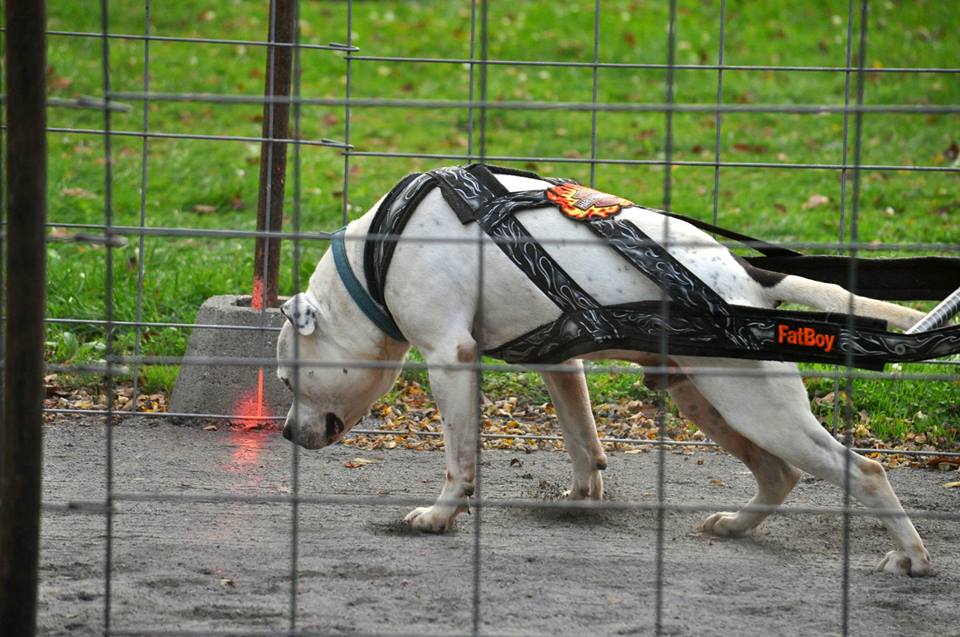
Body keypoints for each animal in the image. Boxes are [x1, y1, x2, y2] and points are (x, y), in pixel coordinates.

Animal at [276, 168, 928, 576]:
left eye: (284, 379)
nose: (284, 432)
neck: (376, 256)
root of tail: (750, 278)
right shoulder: (560, 360)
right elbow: (581, 438)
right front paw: (581, 495)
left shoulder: (449, 358)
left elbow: (460, 461)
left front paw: (440, 516)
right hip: (705, 398)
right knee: (778, 475)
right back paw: (734, 527)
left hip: (756, 405)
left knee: (864, 472)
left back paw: (912, 558)